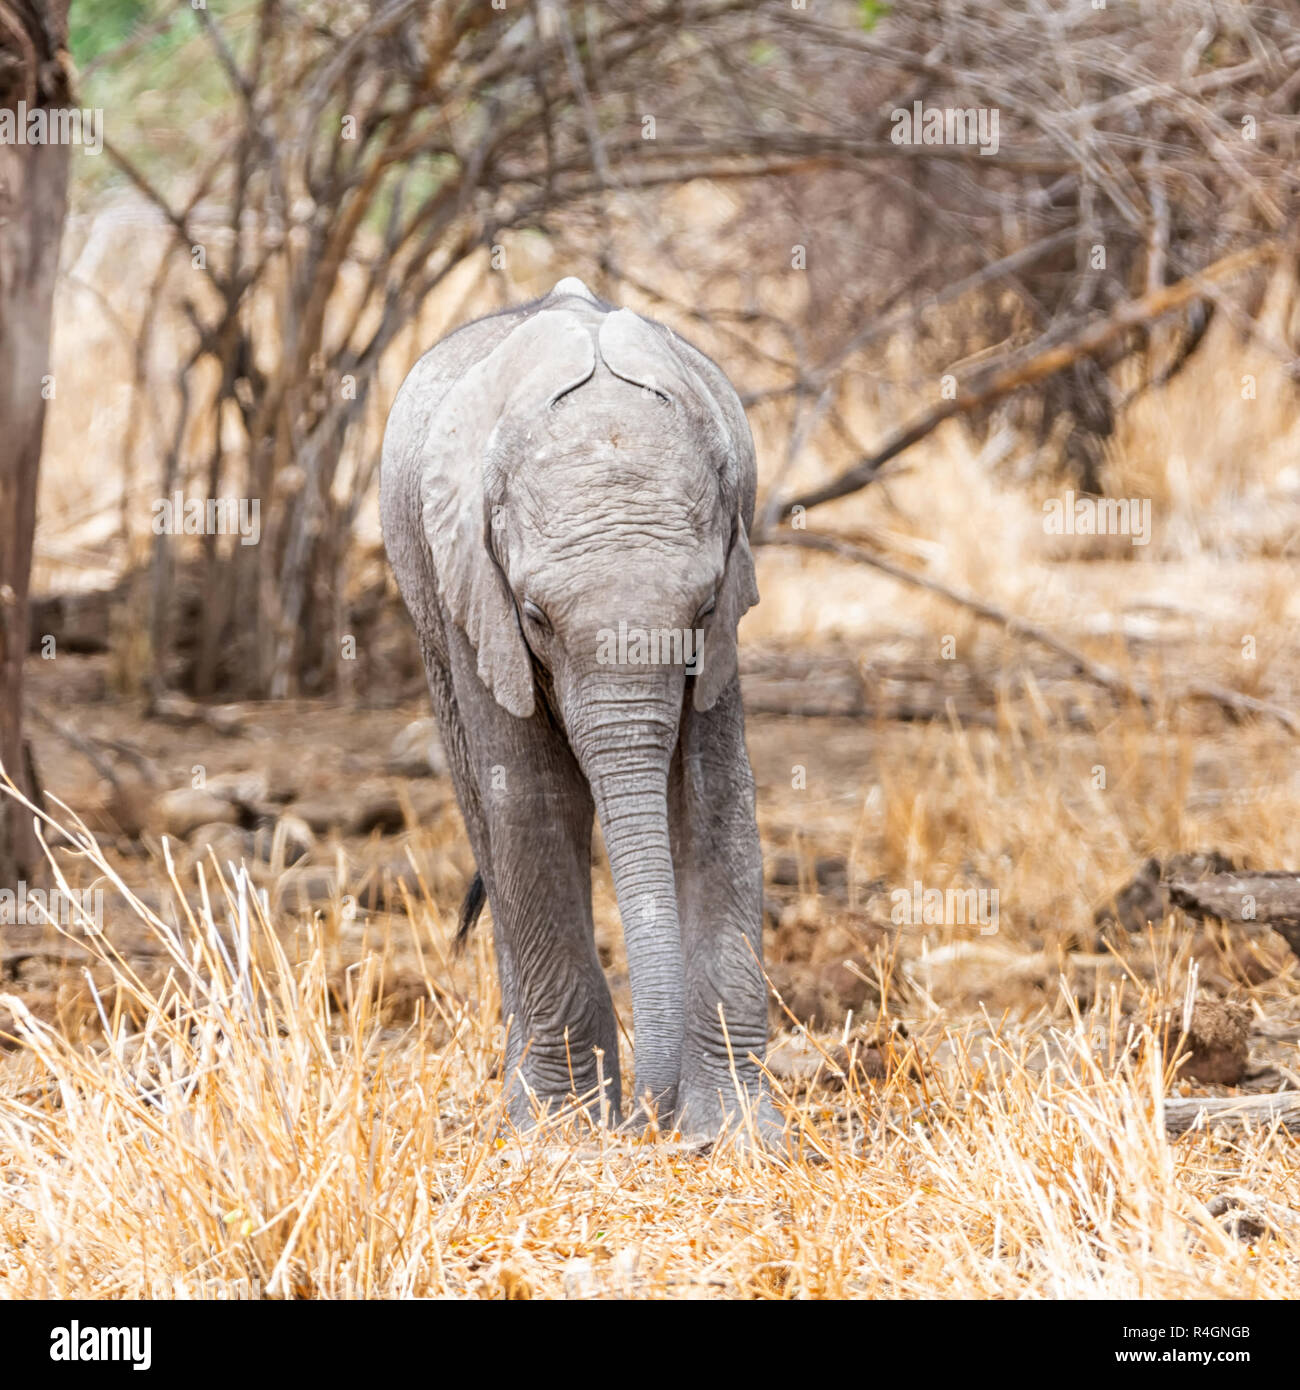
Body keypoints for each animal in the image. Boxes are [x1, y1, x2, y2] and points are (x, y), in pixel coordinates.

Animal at [380, 276, 778, 1142]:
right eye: (536, 618)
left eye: (703, 612)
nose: (651, 1122)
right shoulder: (476, 591)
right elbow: (531, 797)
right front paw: (562, 1134)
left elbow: (713, 794)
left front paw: (736, 1135)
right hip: (428, 608)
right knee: (482, 806)